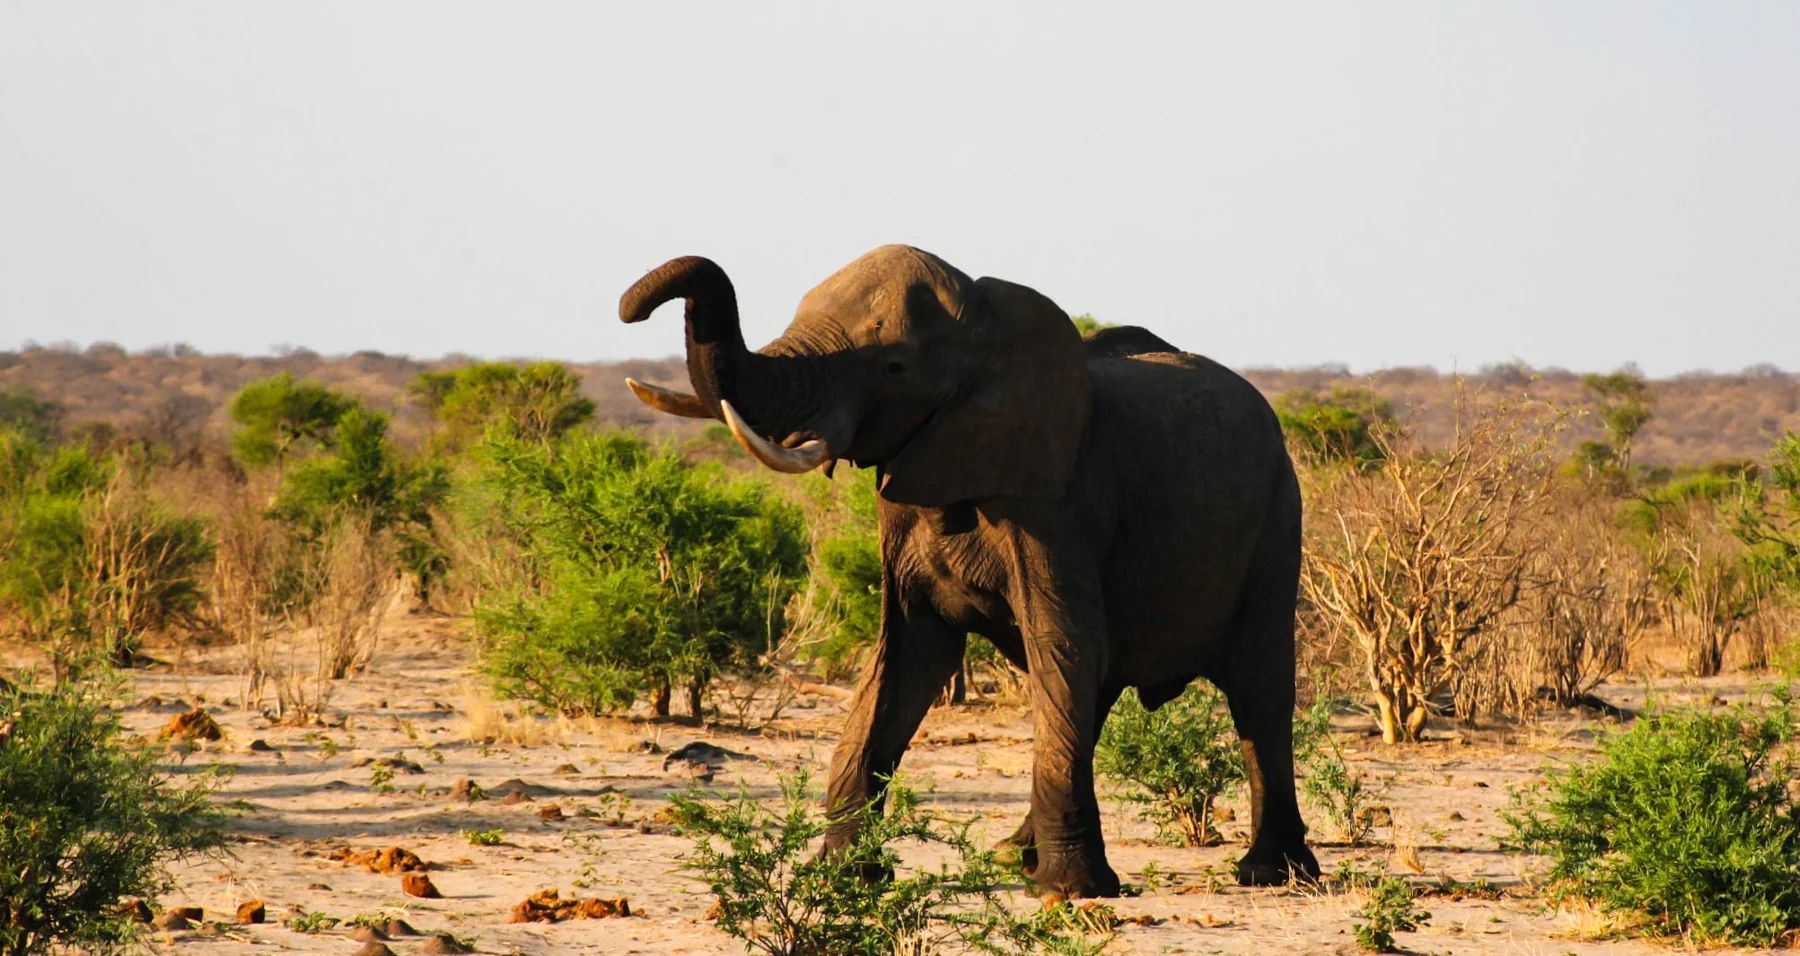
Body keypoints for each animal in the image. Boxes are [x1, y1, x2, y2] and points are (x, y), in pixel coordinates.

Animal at [618, 245, 1319, 897]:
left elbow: (1059, 645)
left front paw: (1072, 893)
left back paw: (1270, 872)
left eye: (894, 367)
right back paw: (1014, 857)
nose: (632, 309)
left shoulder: (1057, 505)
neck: (988, 328)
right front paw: (845, 878)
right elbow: (906, 660)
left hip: (1277, 516)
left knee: (1258, 688)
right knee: (1095, 691)